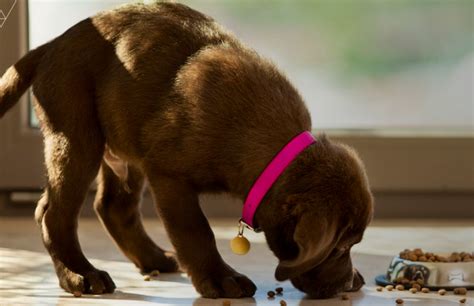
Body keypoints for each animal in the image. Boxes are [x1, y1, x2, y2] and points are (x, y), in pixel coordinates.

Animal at [0, 2, 374, 298]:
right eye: (341, 246)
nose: (349, 284)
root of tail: (52, 45)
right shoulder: (170, 176)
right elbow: (197, 231)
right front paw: (221, 279)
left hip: (123, 145)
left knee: (112, 206)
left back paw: (153, 260)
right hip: (77, 134)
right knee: (53, 212)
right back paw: (80, 275)